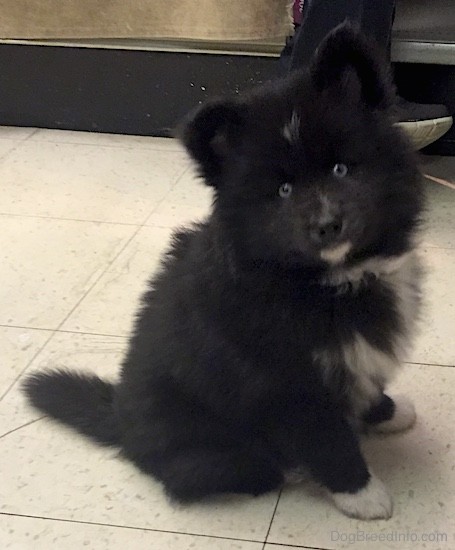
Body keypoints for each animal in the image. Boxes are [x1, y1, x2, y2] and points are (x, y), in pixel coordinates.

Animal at [24, 24, 424, 520]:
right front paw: (363, 495)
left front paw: (388, 412)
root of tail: (120, 420)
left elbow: (364, 383)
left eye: (340, 168)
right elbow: (328, 439)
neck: (326, 281)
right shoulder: (285, 385)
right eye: (283, 190)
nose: (327, 224)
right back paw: (286, 468)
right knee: (216, 474)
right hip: (208, 451)